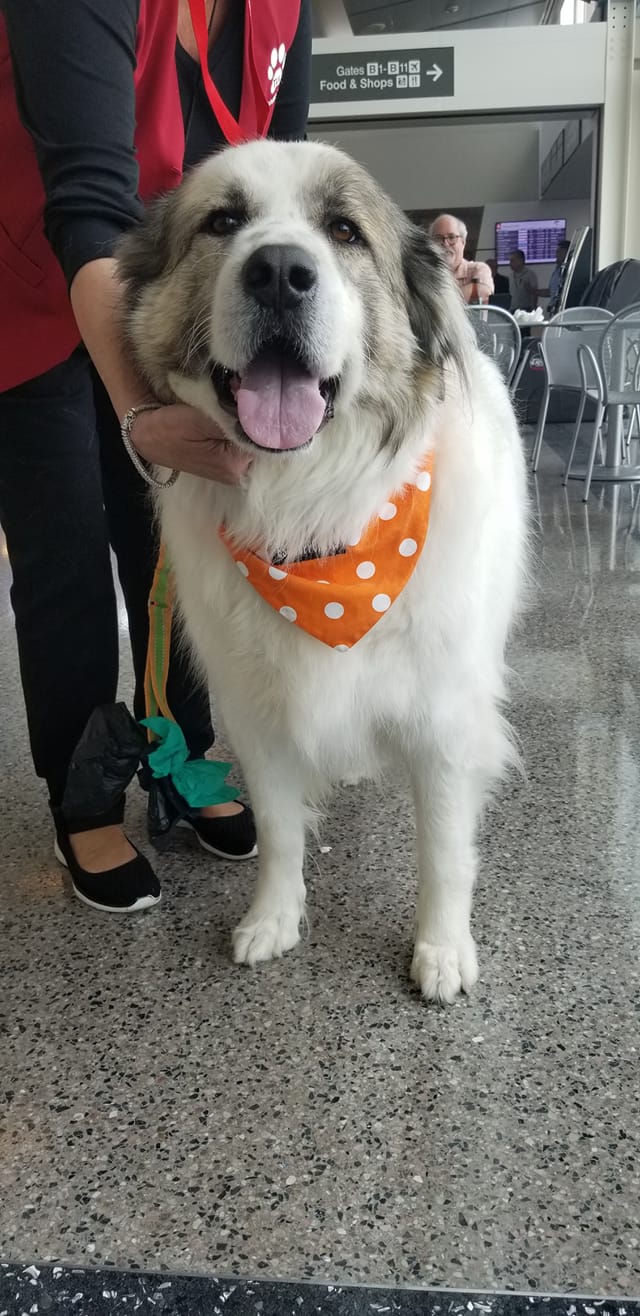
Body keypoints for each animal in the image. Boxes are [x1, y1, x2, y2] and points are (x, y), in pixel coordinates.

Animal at [117, 141, 526, 1005]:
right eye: (223, 222)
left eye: (343, 231)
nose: (278, 271)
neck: (313, 524)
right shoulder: (257, 714)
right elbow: (278, 832)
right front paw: (274, 919)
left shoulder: (444, 719)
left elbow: (444, 849)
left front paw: (442, 949)